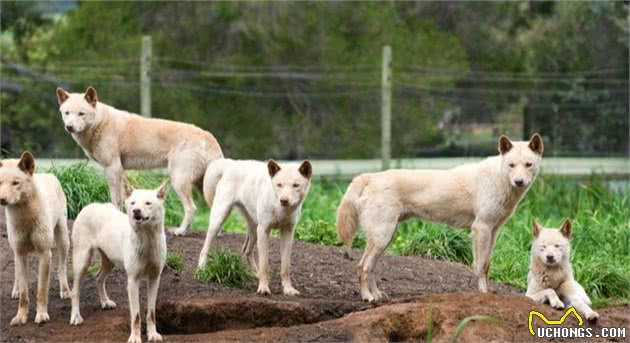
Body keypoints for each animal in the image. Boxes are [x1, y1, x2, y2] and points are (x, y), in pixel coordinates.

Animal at [0, 153, 70, 326]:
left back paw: (65, 291)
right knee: (17, 274)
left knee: (62, 268)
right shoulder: (20, 253)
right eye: (0, 182)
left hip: (63, 240)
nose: (2, 199)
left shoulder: (45, 254)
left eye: (15, 183)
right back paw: (15, 290)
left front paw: (42, 315)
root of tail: (48, 174)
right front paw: (20, 317)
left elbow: (41, 290)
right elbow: (24, 293)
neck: (25, 220)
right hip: (14, 249)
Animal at [56, 86, 225, 236]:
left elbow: (115, 200)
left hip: (178, 181)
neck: (101, 123)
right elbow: (125, 201)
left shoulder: (113, 169)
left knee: (191, 208)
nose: (69, 127)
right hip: (201, 186)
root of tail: (208, 136)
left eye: (81, 113)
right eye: (67, 113)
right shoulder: (120, 171)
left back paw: (181, 231)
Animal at [70, 181, 169, 342]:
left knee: (98, 278)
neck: (146, 240)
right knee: (75, 291)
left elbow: (151, 313)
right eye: (133, 203)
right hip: (82, 261)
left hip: (110, 262)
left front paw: (153, 334)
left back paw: (105, 302)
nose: (136, 211)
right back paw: (76, 316)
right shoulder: (132, 281)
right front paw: (135, 338)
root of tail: (88, 206)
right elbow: (136, 316)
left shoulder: (154, 278)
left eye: (148, 203)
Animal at [199, 159, 312, 296]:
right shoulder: (264, 230)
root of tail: (231, 163)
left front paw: (288, 289)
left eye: (296, 185)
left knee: (246, 250)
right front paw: (263, 288)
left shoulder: (288, 233)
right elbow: (264, 265)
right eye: (279, 185)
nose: (284, 200)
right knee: (205, 247)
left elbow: (285, 267)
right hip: (219, 220)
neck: (280, 209)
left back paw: (255, 274)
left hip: (254, 230)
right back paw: (201, 269)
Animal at [338, 136, 544, 302]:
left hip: (385, 238)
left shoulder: (493, 231)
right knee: (363, 266)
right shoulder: (481, 228)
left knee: (368, 267)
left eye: (528, 164)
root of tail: (372, 177)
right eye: (511, 165)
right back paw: (367, 297)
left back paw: (376, 294)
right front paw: (483, 294)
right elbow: (479, 267)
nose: (519, 182)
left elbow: (486, 265)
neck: (499, 178)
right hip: (382, 237)